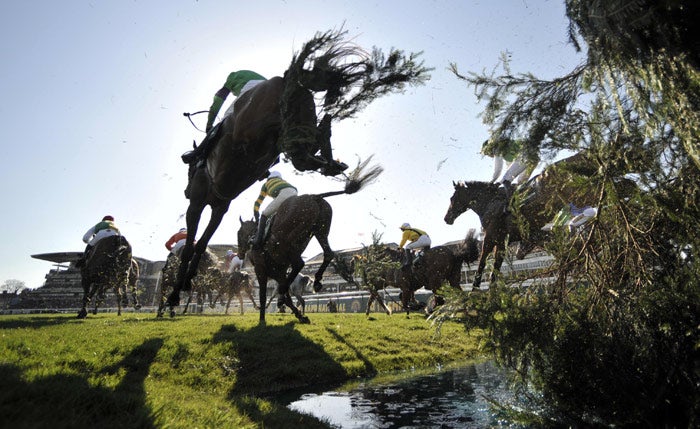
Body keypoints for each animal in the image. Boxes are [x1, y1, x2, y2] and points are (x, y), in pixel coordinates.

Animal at [171, 29, 432, 310]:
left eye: (188, 172)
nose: (185, 191)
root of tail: (287, 79)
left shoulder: (201, 202)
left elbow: (193, 245)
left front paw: (176, 292)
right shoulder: (220, 206)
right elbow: (201, 244)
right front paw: (185, 283)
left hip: (256, 130)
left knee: (295, 151)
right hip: (299, 122)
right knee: (306, 150)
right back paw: (330, 153)